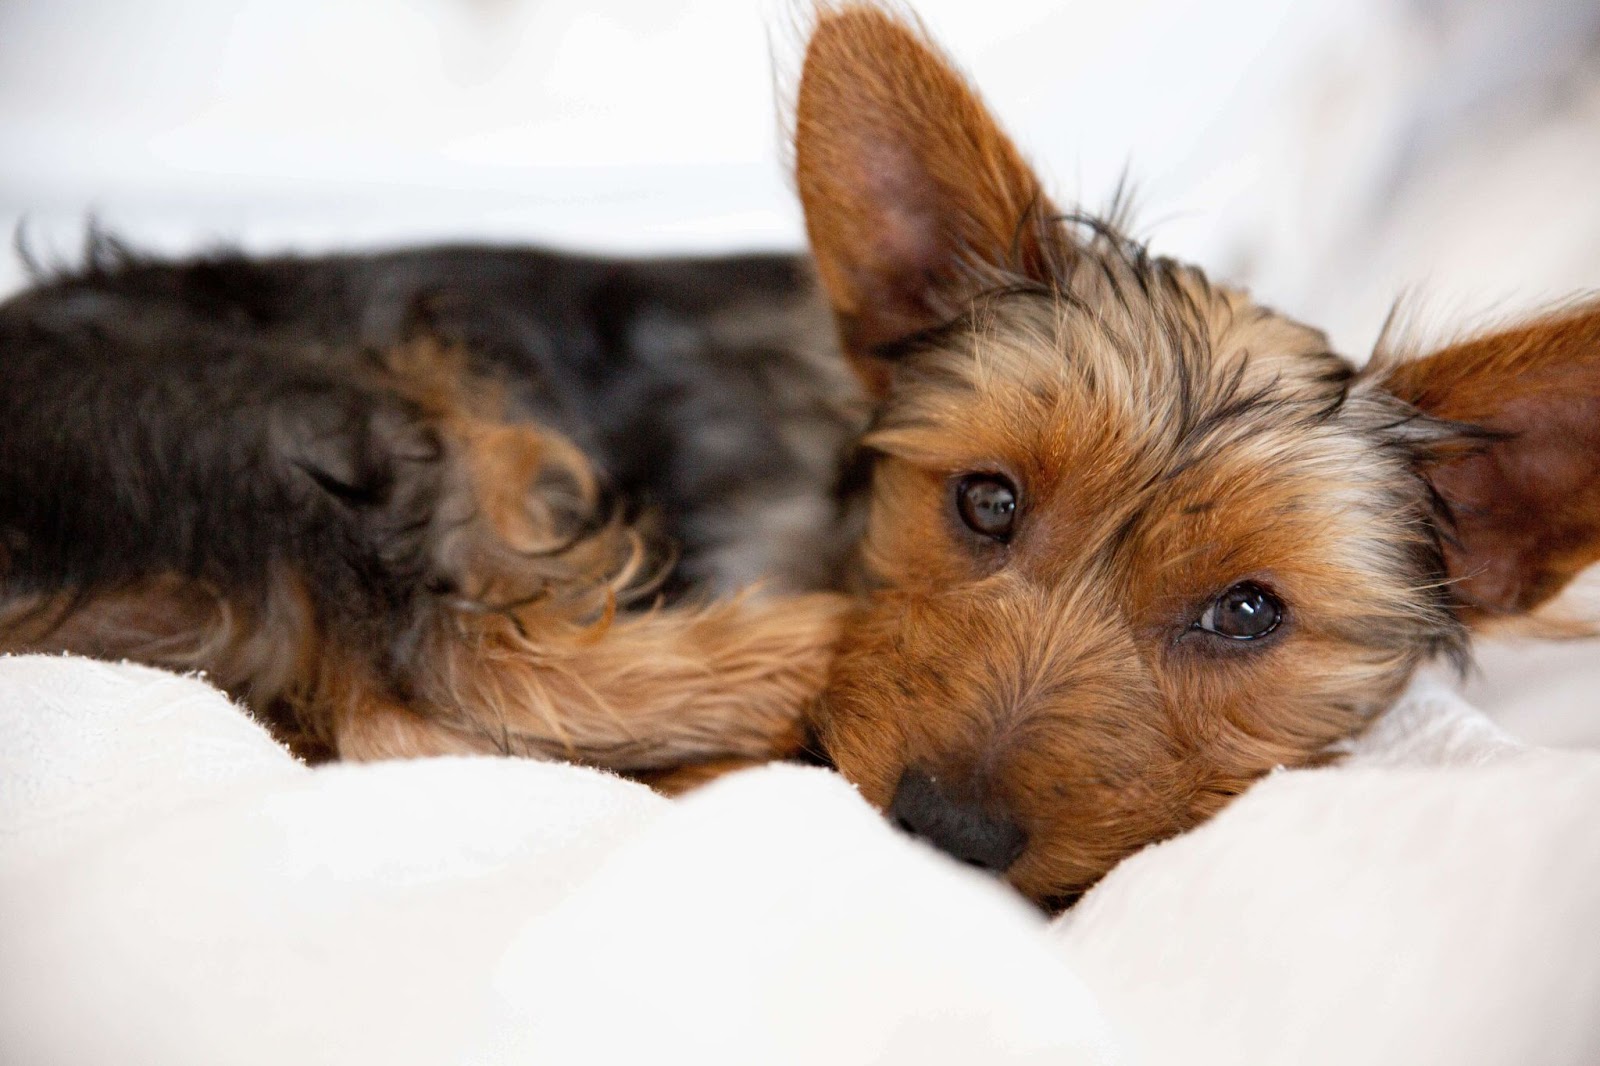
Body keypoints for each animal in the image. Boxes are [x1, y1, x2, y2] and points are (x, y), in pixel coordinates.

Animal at [3, 6, 1600, 902]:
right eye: (986, 500)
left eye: (1249, 612)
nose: (944, 828)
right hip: (344, 412)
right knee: (443, 681)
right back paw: (788, 664)